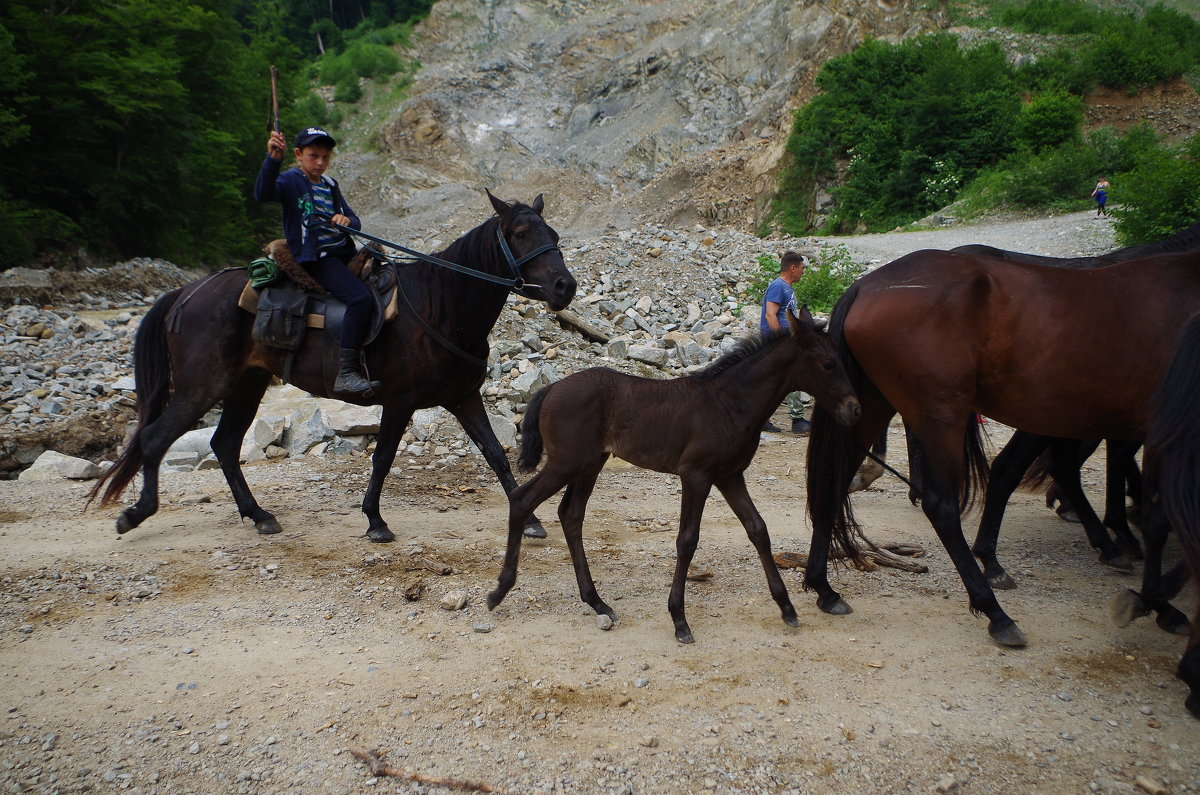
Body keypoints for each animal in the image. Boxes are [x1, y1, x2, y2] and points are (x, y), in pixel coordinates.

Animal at [87, 192, 576, 542]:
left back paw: (258, 515)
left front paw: (528, 519)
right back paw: (136, 513)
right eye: (519, 233)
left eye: (552, 232)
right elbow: (383, 458)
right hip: (201, 386)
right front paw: (375, 521)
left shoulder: (462, 397)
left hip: (247, 385)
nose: (564, 286)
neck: (441, 307)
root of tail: (187, 293)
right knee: (156, 438)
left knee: (224, 445)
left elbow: (495, 453)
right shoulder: (399, 401)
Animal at [487, 307, 864, 643]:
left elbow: (758, 530)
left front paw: (786, 607)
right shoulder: (696, 475)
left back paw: (597, 602)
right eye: (828, 364)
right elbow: (687, 540)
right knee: (523, 500)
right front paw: (679, 620)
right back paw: (499, 591)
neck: (729, 404)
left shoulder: (730, 476)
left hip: (589, 464)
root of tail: (550, 389)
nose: (855, 409)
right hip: (566, 463)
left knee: (570, 514)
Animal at [801, 249, 1200, 648]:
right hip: (942, 415)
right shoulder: (1165, 432)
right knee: (943, 506)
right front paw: (1159, 602)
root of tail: (865, 286)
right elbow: (1161, 520)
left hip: (872, 405)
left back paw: (824, 588)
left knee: (834, 484)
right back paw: (995, 611)